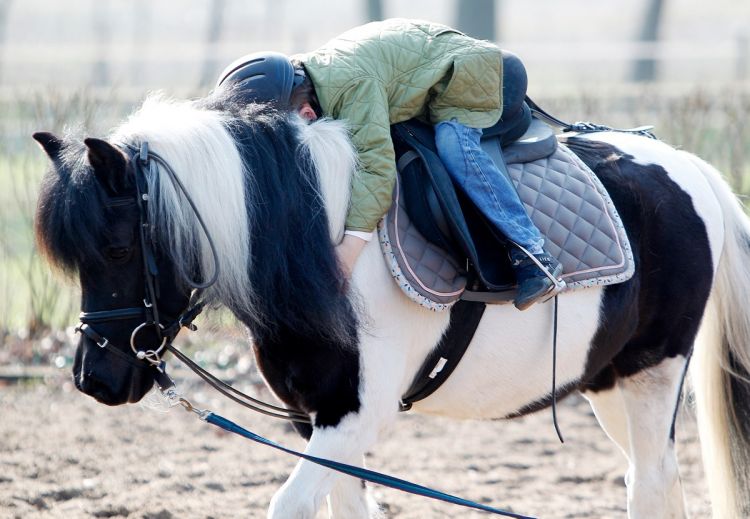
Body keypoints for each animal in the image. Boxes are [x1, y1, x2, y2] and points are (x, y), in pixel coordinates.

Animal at [33, 87, 750, 516]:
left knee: (650, 480)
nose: (93, 378)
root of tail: (688, 167)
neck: (320, 244)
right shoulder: (318, 419)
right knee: (655, 479)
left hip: (652, 375)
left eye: (118, 248)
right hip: (606, 384)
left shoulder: (356, 414)